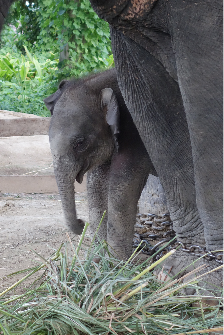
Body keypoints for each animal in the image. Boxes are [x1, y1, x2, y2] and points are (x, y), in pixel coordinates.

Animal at [43, 69, 156, 260]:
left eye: (80, 143)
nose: (81, 222)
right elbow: (97, 185)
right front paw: (99, 258)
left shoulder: (136, 132)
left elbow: (123, 186)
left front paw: (118, 263)